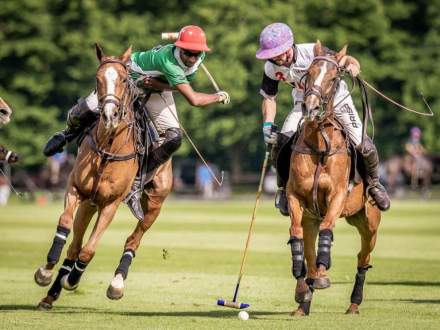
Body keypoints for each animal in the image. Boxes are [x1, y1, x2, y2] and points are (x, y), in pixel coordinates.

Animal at [35, 44, 138, 310]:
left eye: (124, 79)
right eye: (97, 79)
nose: (110, 116)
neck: (109, 146)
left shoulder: (111, 204)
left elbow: (88, 251)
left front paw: (72, 279)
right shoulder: (75, 188)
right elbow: (64, 224)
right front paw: (46, 271)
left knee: (130, 238)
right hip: (88, 204)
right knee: (73, 246)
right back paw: (51, 292)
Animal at [288, 42, 380, 316]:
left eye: (333, 78)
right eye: (307, 74)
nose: (311, 108)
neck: (320, 144)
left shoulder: (337, 195)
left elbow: (328, 230)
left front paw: (322, 276)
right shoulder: (295, 196)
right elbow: (296, 236)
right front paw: (302, 287)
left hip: (370, 224)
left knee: (363, 257)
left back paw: (354, 303)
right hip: (313, 218)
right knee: (309, 249)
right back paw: (303, 302)